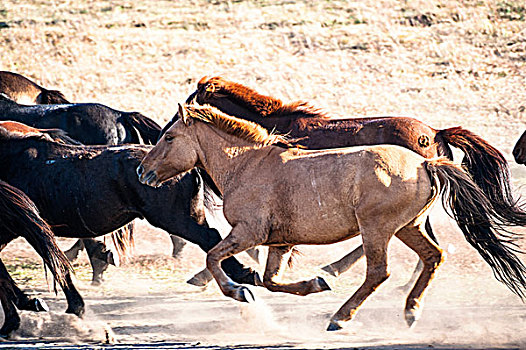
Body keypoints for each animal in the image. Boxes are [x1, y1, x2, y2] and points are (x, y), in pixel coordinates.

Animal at [139, 104, 526, 330]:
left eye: (169, 137)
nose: (143, 172)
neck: (247, 164)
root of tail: (425, 164)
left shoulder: (248, 233)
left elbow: (214, 257)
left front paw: (239, 291)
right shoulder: (280, 242)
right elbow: (271, 280)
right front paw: (314, 283)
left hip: (377, 229)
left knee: (379, 272)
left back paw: (340, 317)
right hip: (408, 227)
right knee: (434, 256)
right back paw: (410, 311)